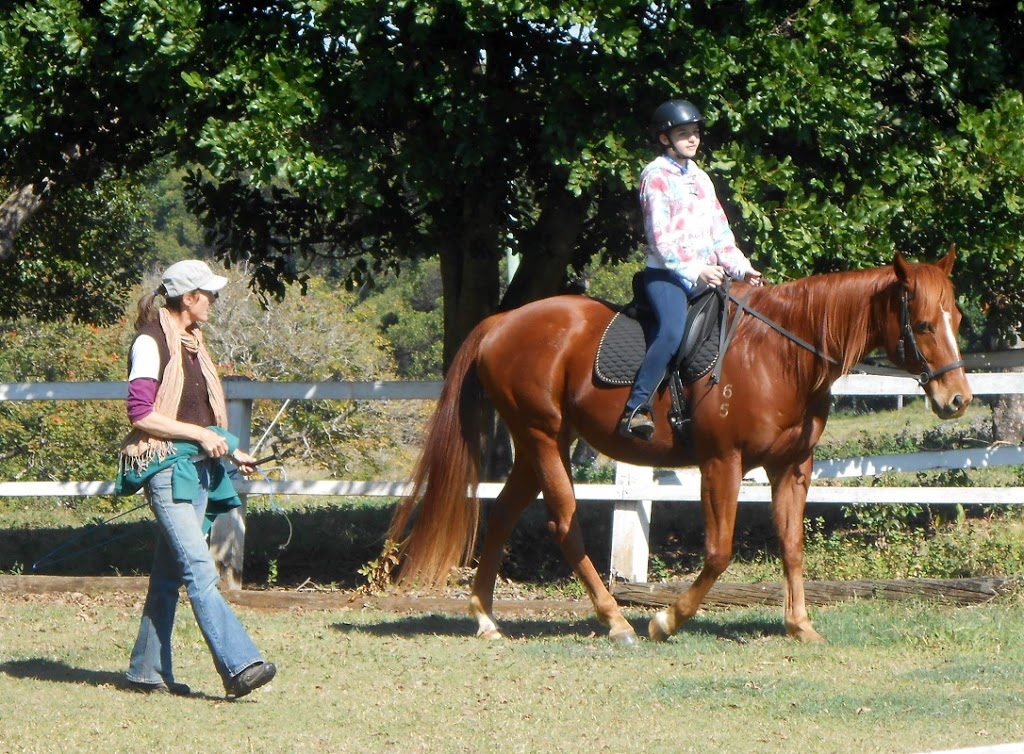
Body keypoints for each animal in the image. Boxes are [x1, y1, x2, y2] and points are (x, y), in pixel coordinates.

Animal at [385, 248, 966, 643]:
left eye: (957, 319)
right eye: (922, 324)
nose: (957, 398)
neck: (779, 354)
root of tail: (502, 322)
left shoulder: (791, 467)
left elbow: (792, 545)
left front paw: (801, 626)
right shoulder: (722, 462)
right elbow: (719, 551)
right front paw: (666, 620)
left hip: (538, 444)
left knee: (505, 512)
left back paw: (486, 617)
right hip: (541, 437)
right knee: (563, 522)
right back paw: (617, 621)